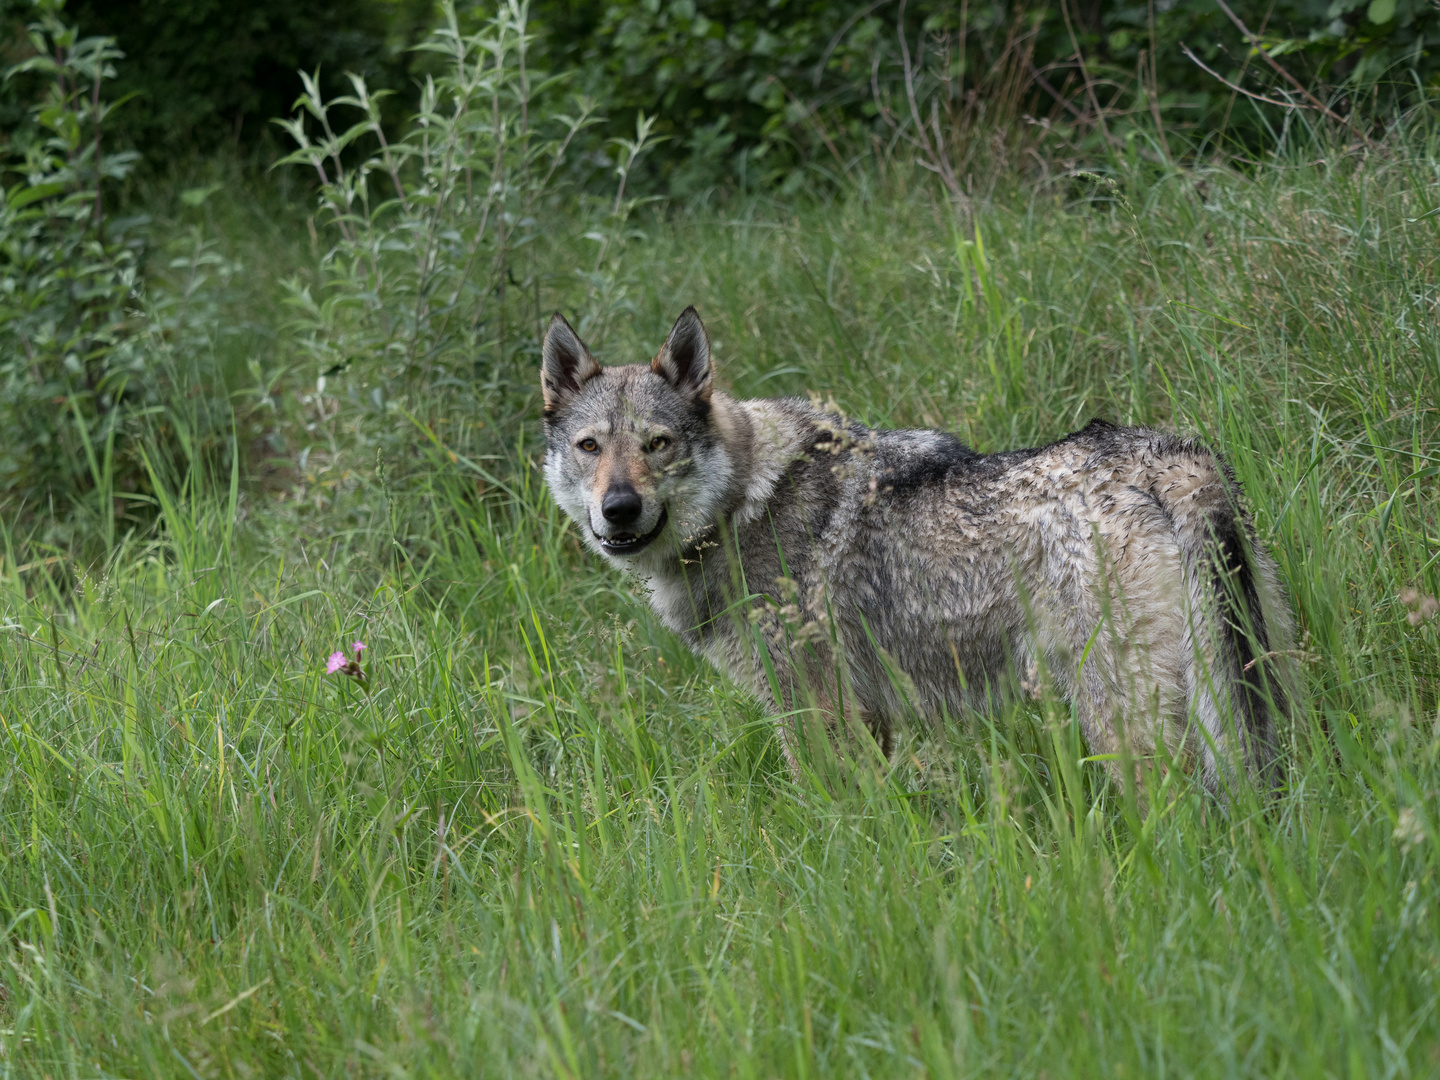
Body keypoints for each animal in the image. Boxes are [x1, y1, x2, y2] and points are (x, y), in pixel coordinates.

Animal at [544, 308, 1301, 800]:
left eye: (657, 444)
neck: (741, 506)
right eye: (590, 447)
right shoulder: (864, 719)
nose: (618, 509)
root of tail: (1170, 459)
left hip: (1127, 727)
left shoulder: (817, 715)